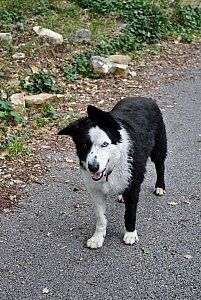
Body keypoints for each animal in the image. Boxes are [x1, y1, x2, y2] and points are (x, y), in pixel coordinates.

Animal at [57, 96, 166, 248]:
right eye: (84, 144)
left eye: (105, 144)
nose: (93, 167)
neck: (113, 164)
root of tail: (145, 98)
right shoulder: (96, 191)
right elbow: (100, 218)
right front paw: (98, 237)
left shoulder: (133, 185)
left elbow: (130, 214)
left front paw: (130, 234)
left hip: (159, 148)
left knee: (160, 166)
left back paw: (160, 187)